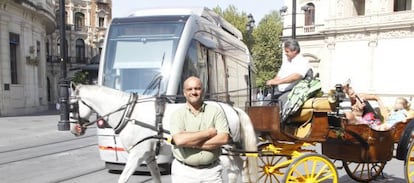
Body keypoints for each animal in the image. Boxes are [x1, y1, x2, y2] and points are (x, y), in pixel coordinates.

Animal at [68, 84, 258, 183]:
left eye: (70, 105)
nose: (73, 130)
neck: (130, 114)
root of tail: (232, 108)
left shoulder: (136, 155)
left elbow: (122, 178)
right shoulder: (149, 155)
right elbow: (156, 177)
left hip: (224, 150)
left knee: (235, 171)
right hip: (232, 150)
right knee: (241, 167)